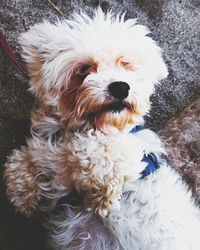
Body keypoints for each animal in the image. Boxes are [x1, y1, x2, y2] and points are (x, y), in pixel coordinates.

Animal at [4, 8, 200, 250]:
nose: (121, 87)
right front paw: (24, 187)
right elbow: (27, 159)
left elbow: (98, 151)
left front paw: (102, 194)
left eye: (125, 64)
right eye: (83, 70)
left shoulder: (131, 154)